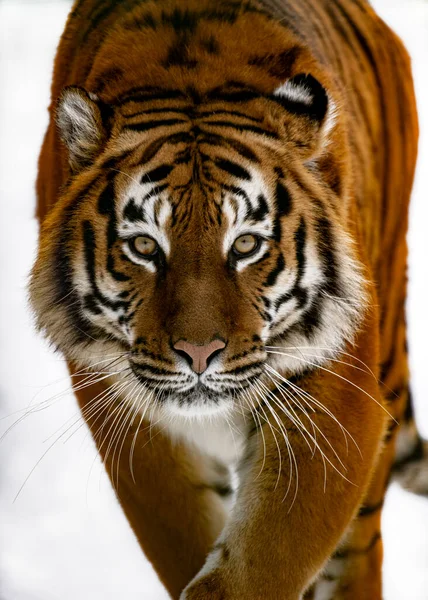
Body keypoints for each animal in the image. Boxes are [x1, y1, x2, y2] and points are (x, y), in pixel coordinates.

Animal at [28, 0, 426, 596]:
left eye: (245, 244)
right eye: (144, 245)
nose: (198, 355)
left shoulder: (338, 396)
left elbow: (265, 557)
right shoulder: (128, 415)